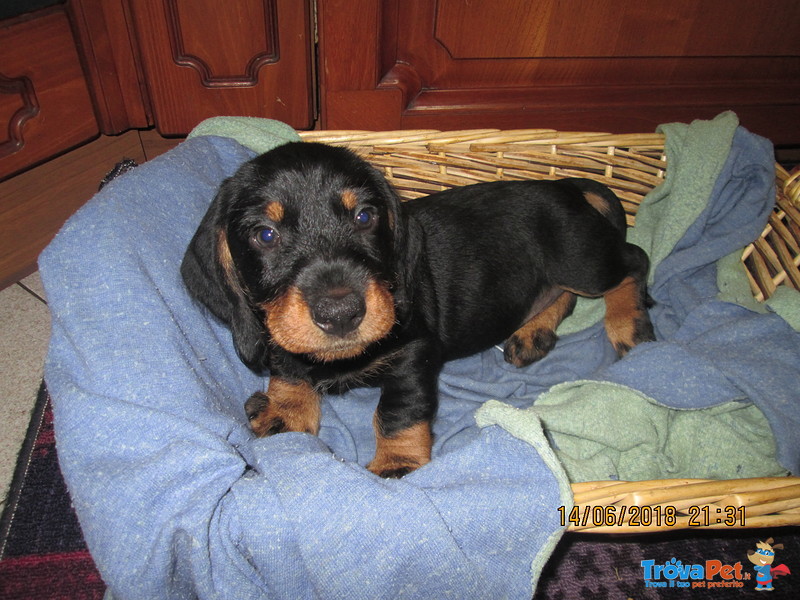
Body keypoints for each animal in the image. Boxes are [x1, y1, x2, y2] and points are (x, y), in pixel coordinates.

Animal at [183, 142, 656, 478]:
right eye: (265, 235)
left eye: (364, 217)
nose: (341, 314)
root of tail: (564, 186)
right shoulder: (280, 334)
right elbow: (289, 366)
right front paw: (286, 410)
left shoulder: (414, 352)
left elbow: (396, 412)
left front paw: (397, 463)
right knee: (562, 295)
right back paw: (532, 335)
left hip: (582, 260)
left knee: (634, 262)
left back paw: (629, 324)